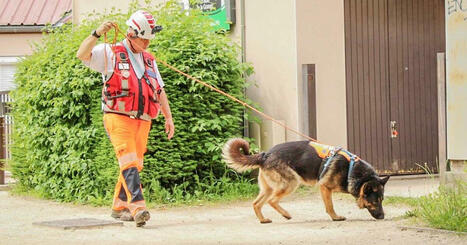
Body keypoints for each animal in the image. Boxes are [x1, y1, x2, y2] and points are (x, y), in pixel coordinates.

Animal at [223, 139, 392, 223]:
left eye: (382, 200)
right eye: (375, 202)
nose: (382, 217)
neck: (352, 170)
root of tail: (265, 154)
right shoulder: (325, 187)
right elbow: (330, 206)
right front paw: (335, 218)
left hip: (269, 188)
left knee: (256, 203)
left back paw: (263, 220)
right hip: (290, 183)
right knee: (271, 201)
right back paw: (286, 215)